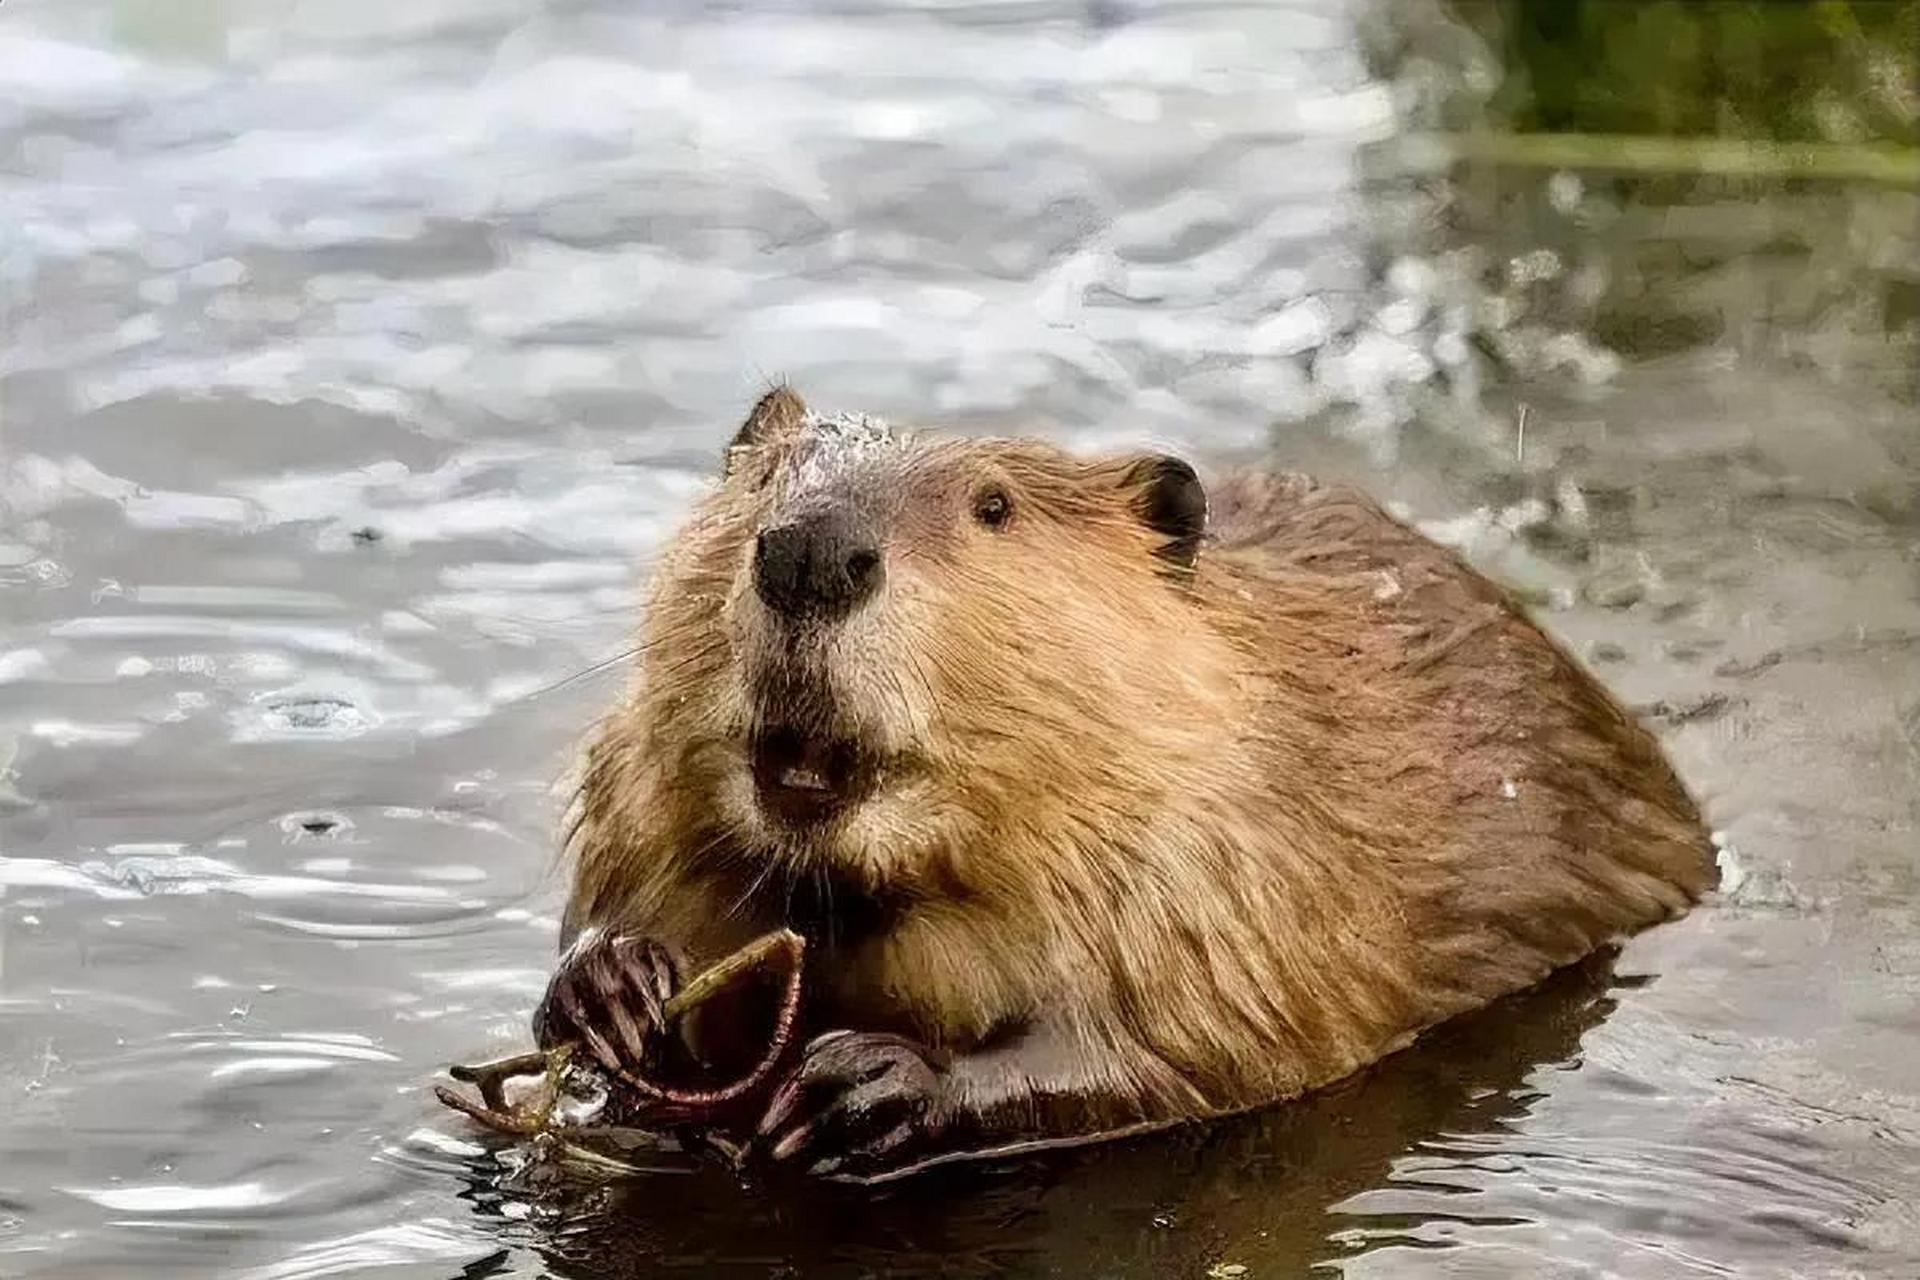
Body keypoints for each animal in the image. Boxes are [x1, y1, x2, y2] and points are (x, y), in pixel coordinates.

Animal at [533, 387, 1720, 1182]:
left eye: (995, 506)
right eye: (768, 478)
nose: (813, 553)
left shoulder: (1237, 852)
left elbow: (1201, 1044)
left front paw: (866, 1083)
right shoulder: (633, 794)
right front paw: (614, 984)